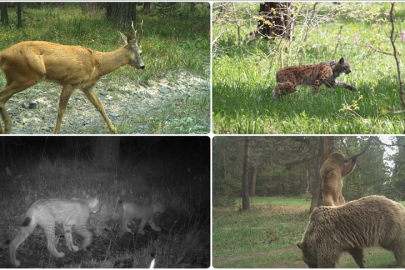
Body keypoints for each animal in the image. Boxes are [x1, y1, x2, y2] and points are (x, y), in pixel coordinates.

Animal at [0, 21, 144, 134]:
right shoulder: (71, 81)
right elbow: (61, 111)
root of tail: (4, 54)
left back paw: (6, 128)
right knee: (2, 98)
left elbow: (100, 106)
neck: (96, 64)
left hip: (13, 77)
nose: (143, 66)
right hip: (31, 74)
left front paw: (113, 129)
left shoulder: (86, 86)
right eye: (141, 53)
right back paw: (6, 128)